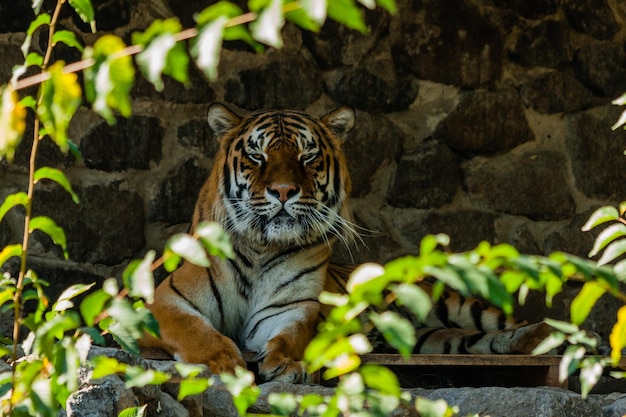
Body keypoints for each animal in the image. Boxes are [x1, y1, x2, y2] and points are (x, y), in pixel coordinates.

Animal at [141, 102, 552, 382]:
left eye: (307, 156)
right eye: (257, 156)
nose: (283, 191)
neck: (262, 247)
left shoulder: (290, 309)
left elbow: (290, 337)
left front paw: (288, 363)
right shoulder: (166, 301)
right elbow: (195, 330)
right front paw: (222, 362)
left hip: (447, 302)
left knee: (504, 323)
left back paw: (545, 337)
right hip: (432, 337)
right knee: (471, 339)